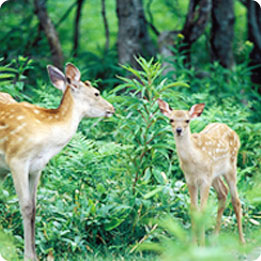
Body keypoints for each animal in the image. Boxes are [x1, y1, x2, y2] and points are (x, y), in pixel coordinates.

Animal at [0, 62, 114, 258]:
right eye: (97, 93)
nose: (112, 108)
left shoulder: (36, 167)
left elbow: (34, 207)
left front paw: (35, 255)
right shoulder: (17, 159)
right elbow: (26, 207)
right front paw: (28, 256)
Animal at [157, 98, 245, 245]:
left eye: (187, 120)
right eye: (171, 119)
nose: (179, 130)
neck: (194, 161)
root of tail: (233, 132)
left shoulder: (205, 180)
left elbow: (203, 211)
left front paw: (202, 245)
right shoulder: (190, 180)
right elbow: (194, 210)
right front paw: (193, 244)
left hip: (231, 166)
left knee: (236, 200)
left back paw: (242, 241)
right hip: (214, 175)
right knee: (223, 192)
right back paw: (215, 237)